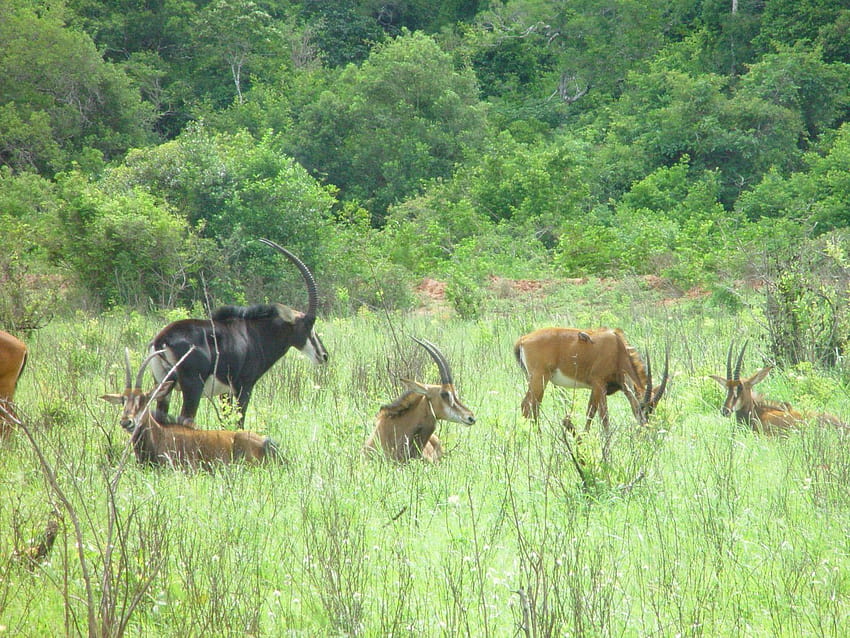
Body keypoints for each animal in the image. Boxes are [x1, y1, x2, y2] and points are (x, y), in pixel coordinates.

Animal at [149, 240, 328, 430]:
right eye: (309, 325)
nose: (323, 355)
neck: (255, 334)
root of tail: (162, 340)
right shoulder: (244, 386)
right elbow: (239, 421)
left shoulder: (225, 392)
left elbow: (226, 422)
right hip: (192, 387)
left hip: (162, 384)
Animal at [512, 330, 664, 436]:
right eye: (641, 407)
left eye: (653, 408)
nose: (645, 428)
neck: (617, 348)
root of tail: (523, 340)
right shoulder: (599, 383)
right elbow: (600, 415)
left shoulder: (595, 388)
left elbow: (592, 410)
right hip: (539, 378)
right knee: (528, 404)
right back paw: (538, 436)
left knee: (533, 405)